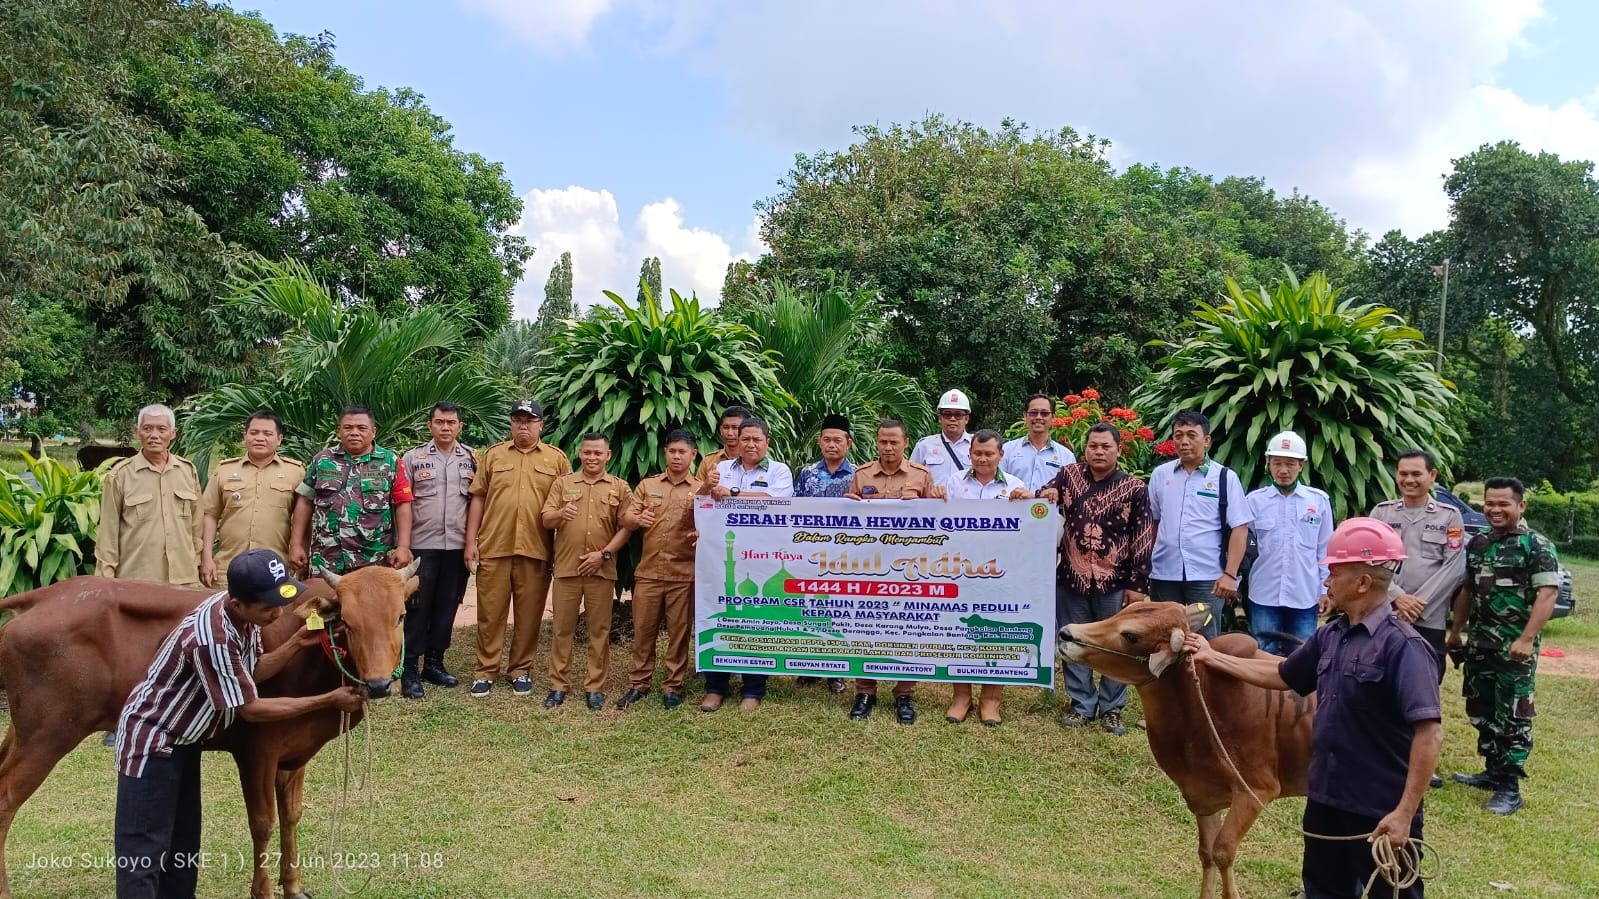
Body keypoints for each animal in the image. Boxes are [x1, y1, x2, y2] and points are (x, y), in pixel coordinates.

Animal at [0, 559, 418, 895]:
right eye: (347, 621)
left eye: (399, 616)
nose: (379, 684)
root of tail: (44, 596)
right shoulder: (257, 750)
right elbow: (263, 822)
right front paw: (263, 891)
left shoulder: (295, 753)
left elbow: (292, 815)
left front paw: (294, 887)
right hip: (48, 734)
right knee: (6, 798)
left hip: (23, 730)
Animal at [1061, 601, 1311, 895]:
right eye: (1126, 608)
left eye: (1131, 636)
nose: (1066, 633)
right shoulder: (1203, 797)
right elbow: (1207, 853)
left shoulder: (1256, 791)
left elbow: (1223, 851)